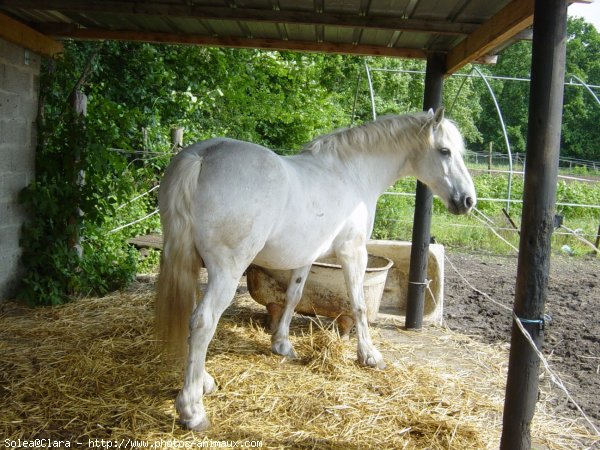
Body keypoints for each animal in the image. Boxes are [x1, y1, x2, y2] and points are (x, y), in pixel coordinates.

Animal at [157, 107, 476, 430]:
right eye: (445, 151)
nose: (467, 201)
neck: (352, 173)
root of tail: (202, 156)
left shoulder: (305, 257)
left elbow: (293, 298)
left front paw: (282, 345)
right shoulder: (353, 253)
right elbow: (359, 306)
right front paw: (369, 356)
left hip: (192, 263)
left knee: (193, 317)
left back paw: (204, 382)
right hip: (227, 271)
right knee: (203, 322)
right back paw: (192, 410)